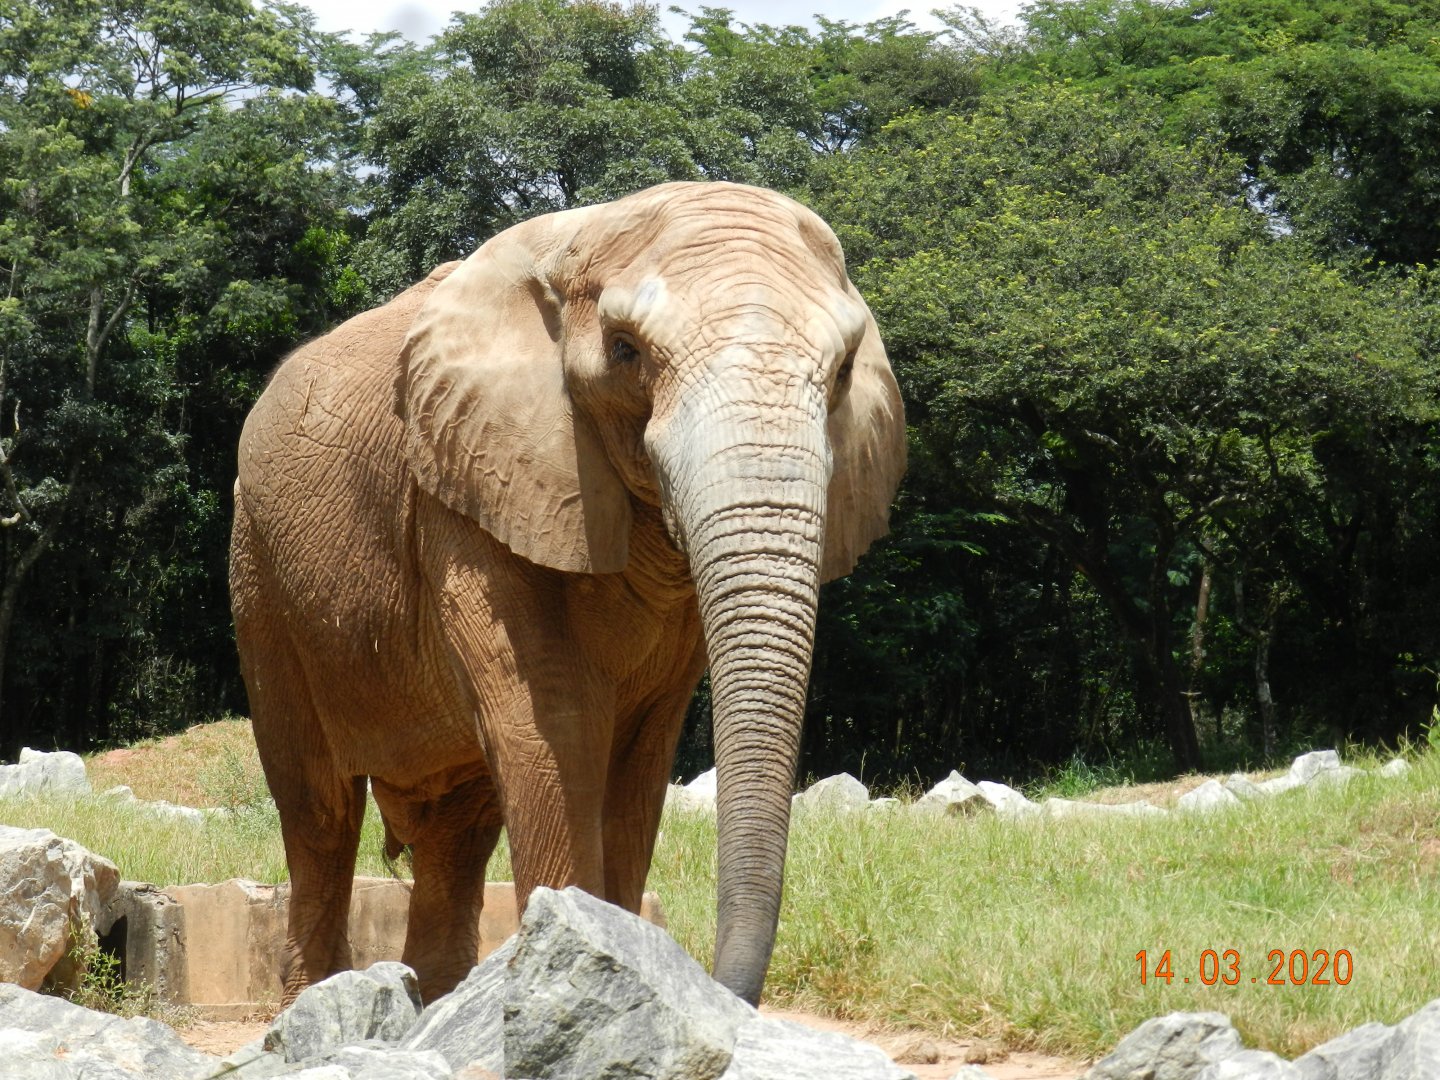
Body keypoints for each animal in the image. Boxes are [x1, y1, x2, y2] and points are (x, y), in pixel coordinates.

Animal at [229, 180, 905, 1007]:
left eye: (842, 372)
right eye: (625, 352)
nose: (722, 985)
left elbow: (638, 756)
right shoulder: (467, 491)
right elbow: (553, 722)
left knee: (455, 830)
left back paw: (439, 1000)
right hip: (260, 571)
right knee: (319, 810)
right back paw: (316, 1001)